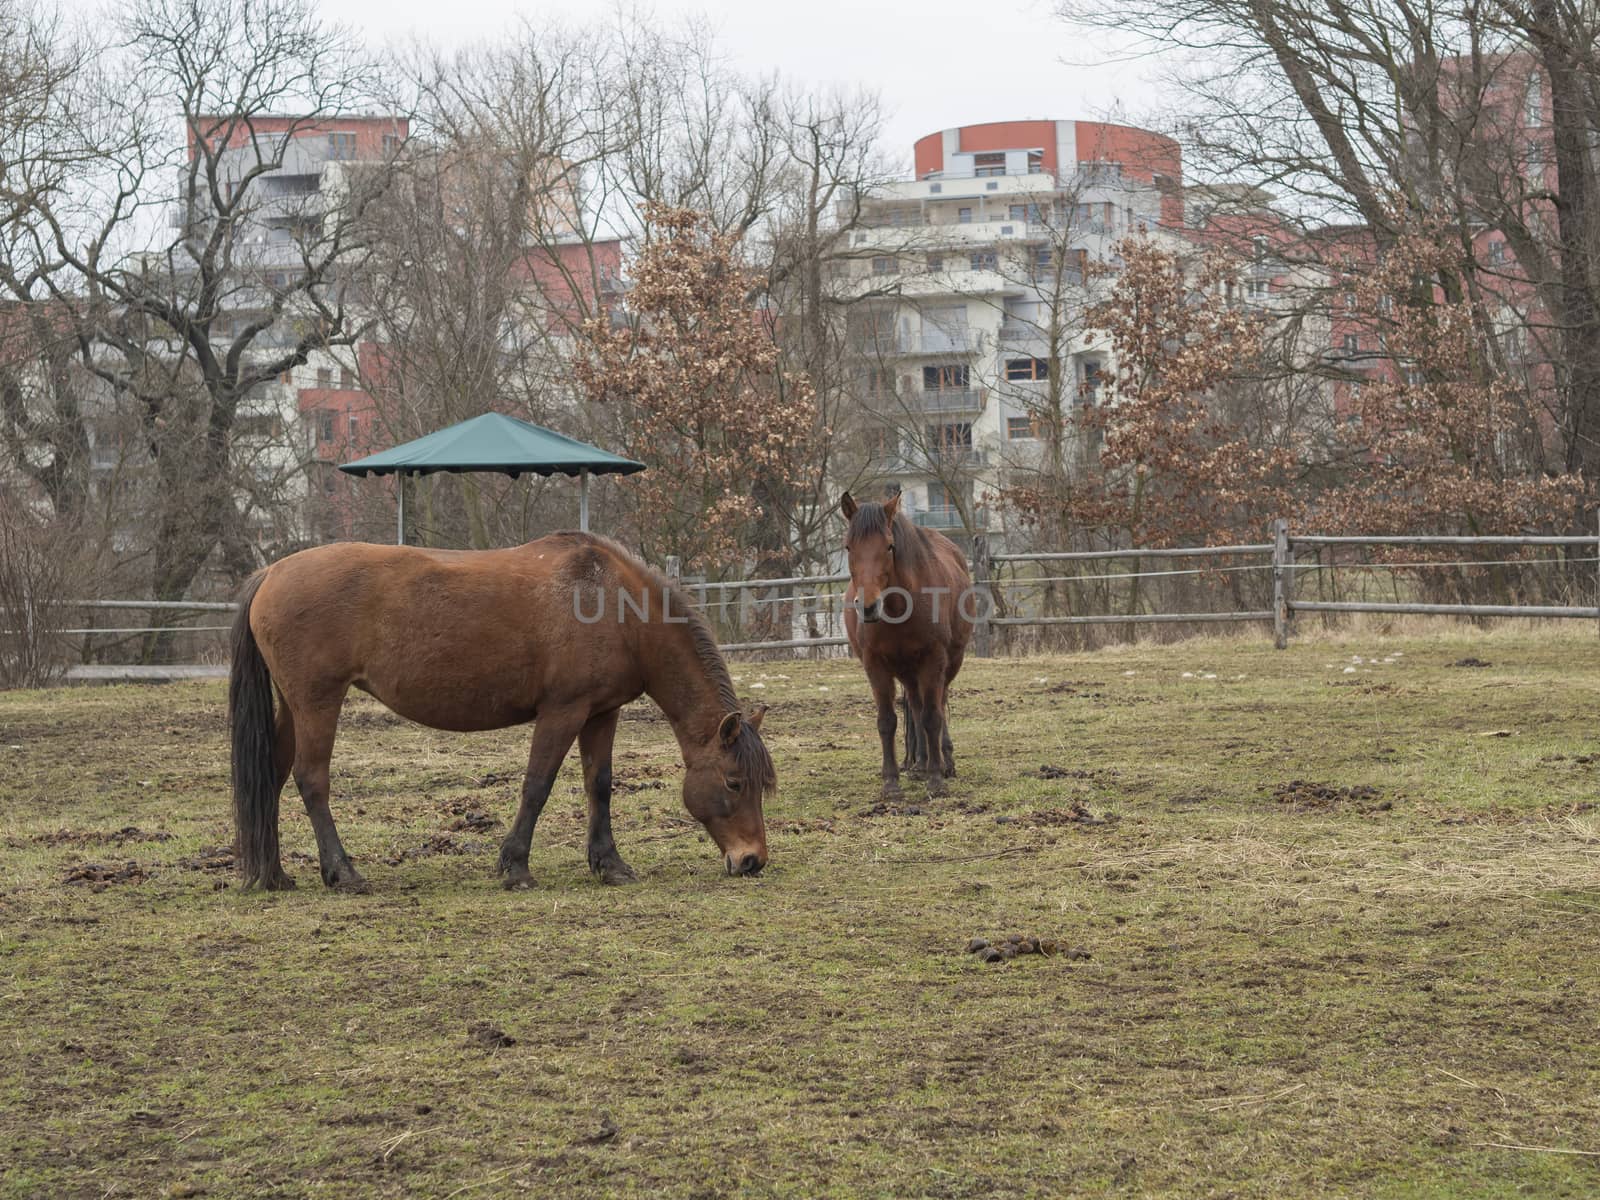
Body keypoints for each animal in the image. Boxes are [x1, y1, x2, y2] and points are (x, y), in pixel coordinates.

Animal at [228, 534, 771, 896]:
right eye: (734, 782)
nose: (752, 861)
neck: (617, 608)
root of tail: (271, 574)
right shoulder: (562, 711)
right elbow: (537, 785)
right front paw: (516, 867)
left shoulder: (602, 713)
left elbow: (599, 785)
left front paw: (609, 864)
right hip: (318, 702)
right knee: (311, 781)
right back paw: (343, 872)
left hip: (293, 707)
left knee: (273, 776)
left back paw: (274, 874)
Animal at [838, 492, 972, 803]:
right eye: (849, 546)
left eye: (889, 546)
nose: (867, 606)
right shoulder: (875, 665)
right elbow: (888, 721)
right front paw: (891, 782)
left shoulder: (934, 659)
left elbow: (933, 717)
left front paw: (936, 779)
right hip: (908, 672)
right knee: (916, 705)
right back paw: (920, 763)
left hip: (946, 664)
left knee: (936, 705)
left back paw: (943, 761)